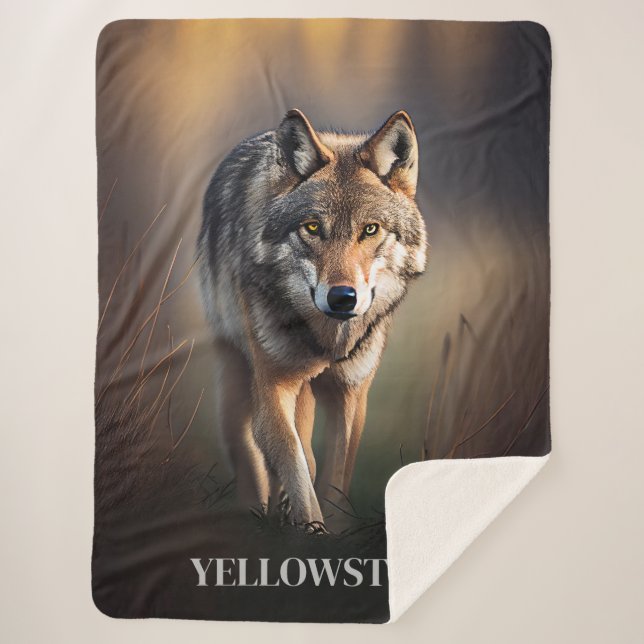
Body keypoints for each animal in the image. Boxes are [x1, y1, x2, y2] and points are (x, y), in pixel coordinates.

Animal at [198, 109, 427, 529]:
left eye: (370, 229)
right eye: (312, 228)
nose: (342, 297)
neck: (327, 341)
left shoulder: (351, 393)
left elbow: (333, 475)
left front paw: (329, 527)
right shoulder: (273, 386)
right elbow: (296, 465)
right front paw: (308, 526)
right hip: (237, 373)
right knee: (253, 448)